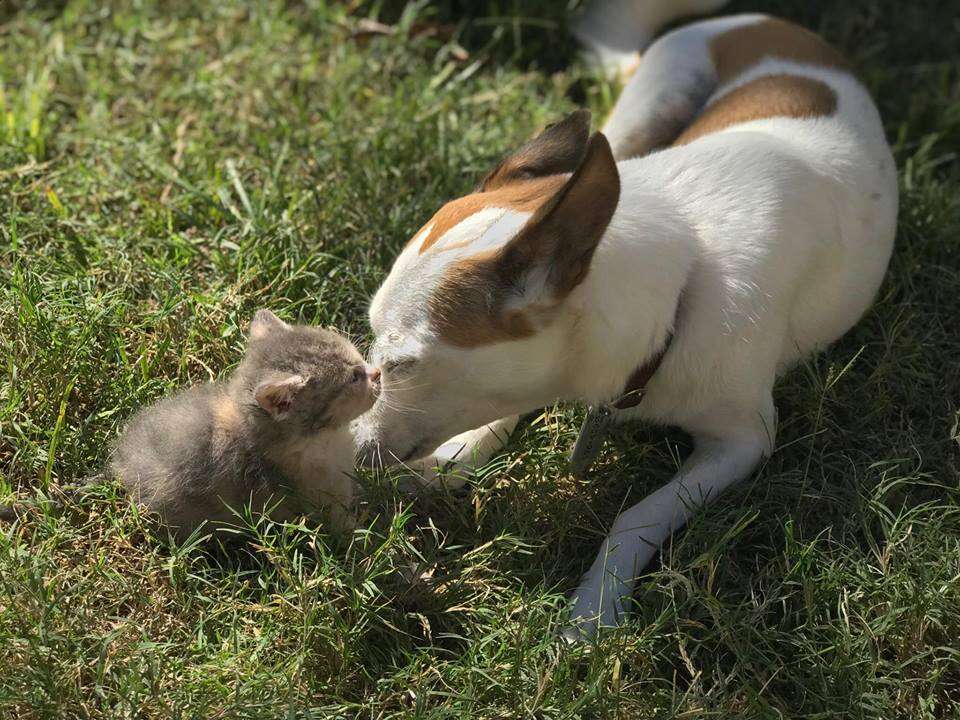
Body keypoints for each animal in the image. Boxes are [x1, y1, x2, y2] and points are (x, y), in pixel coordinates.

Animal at [110, 310, 380, 540]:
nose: (377, 373)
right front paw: (362, 534)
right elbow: (341, 523)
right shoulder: (321, 495)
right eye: (355, 377)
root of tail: (121, 461)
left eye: (358, 356)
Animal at [354, 1, 900, 640]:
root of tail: (776, 24)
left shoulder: (744, 441)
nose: (350, 442)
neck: (681, 283)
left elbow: (635, 518)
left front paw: (594, 609)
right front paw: (445, 463)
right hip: (636, 117)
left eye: (401, 364)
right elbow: (494, 417)